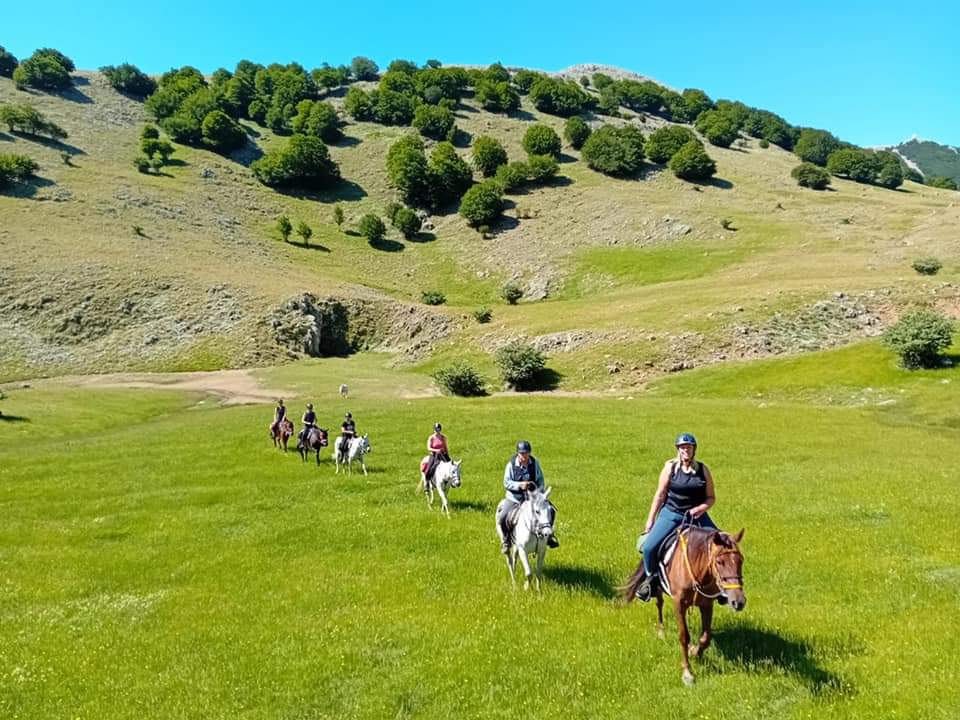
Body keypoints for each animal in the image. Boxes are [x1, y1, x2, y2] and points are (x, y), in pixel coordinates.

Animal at [623, 526, 746, 686]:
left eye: (740, 560)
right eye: (719, 562)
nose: (738, 601)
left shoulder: (707, 605)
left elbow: (705, 637)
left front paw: (694, 652)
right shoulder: (679, 604)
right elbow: (683, 636)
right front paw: (687, 673)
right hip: (658, 588)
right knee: (659, 604)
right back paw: (661, 631)